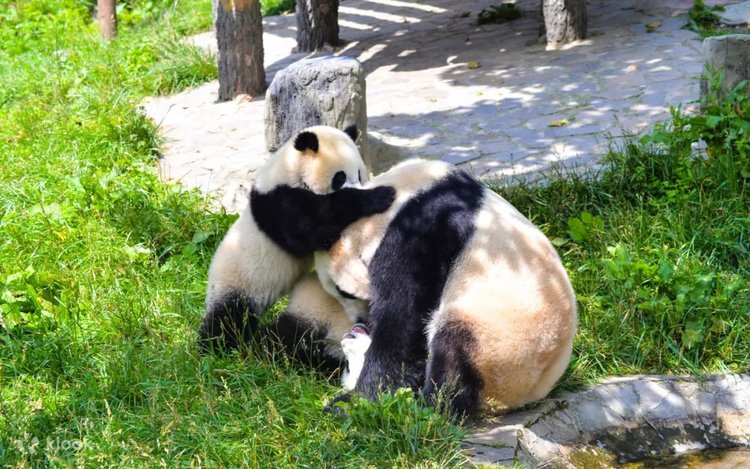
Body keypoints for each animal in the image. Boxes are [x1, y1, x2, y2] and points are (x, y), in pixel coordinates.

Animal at [198, 125, 395, 352]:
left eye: (361, 174)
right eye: (340, 177)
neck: (288, 169)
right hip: (238, 281)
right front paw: (379, 195)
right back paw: (214, 346)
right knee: (229, 317)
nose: (361, 186)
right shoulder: (278, 203)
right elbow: (309, 227)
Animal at [311, 158, 578, 416]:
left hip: (501, 341)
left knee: (453, 352)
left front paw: (353, 402)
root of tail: (524, 395)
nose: (358, 324)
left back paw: (426, 405)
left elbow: (403, 316)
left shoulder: (422, 230)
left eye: (343, 292)